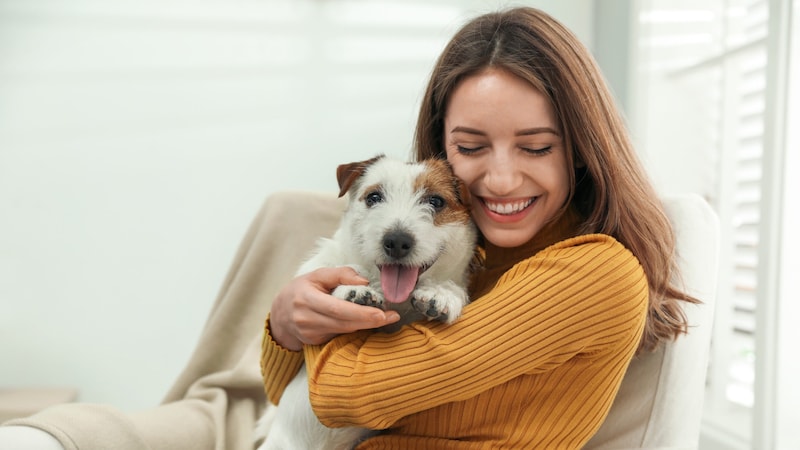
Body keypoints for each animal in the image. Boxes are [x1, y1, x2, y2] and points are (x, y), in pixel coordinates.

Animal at [255, 156, 476, 450]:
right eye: (373, 197)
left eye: (436, 201)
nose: (396, 241)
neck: (396, 303)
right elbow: (342, 268)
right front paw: (355, 289)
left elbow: (451, 288)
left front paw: (442, 294)